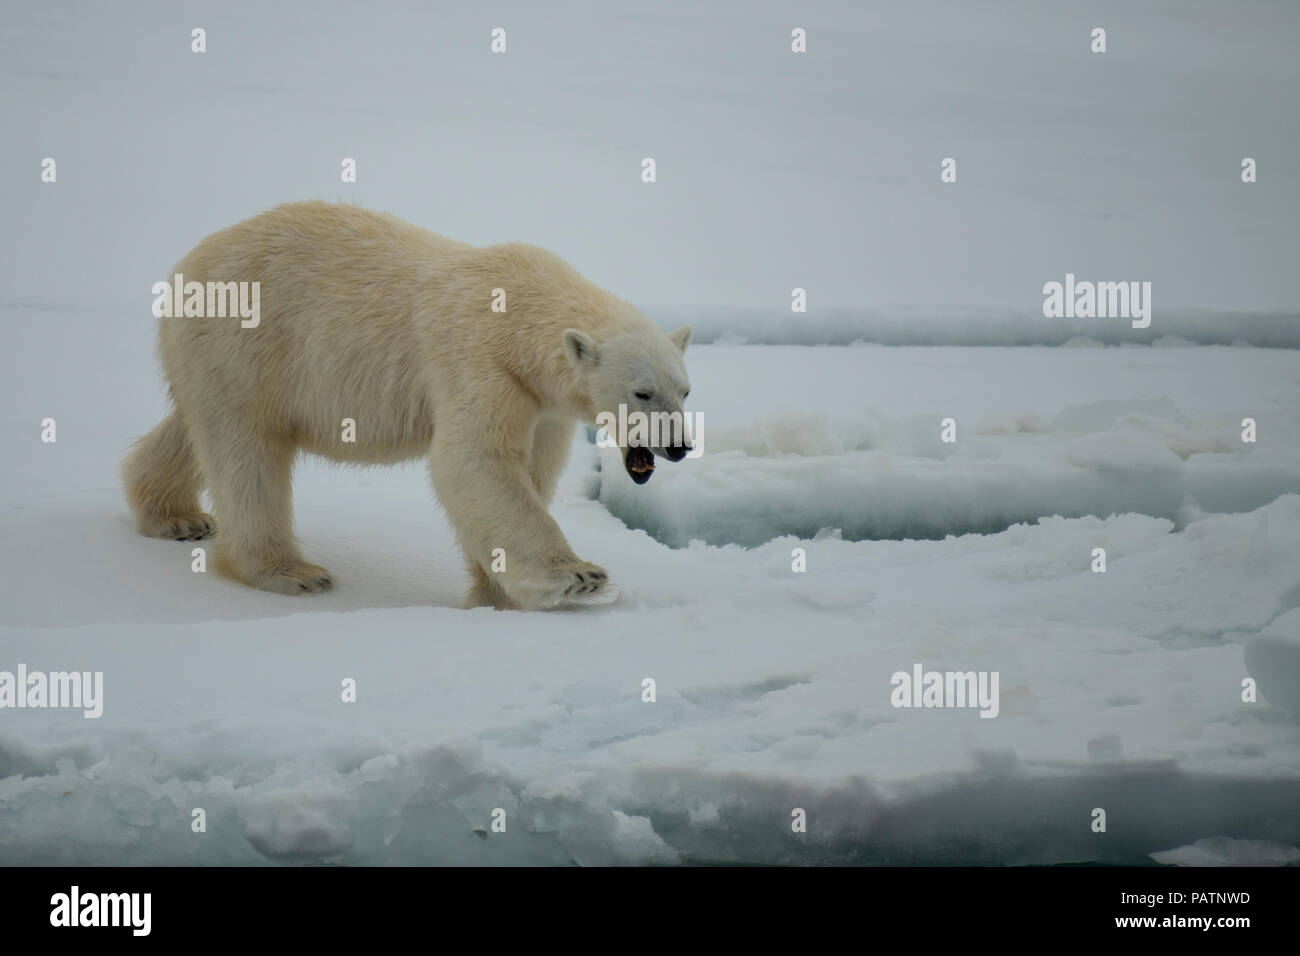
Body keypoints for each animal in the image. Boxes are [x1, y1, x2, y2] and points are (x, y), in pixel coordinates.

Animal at [122, 199, 691, 608]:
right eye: (642, 392)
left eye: (684, 390)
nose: (679, 447)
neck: (521, 316)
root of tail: (185, 267)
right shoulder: (480, 361)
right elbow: (474, 462)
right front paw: (579, 577)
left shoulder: (541, 404)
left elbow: (529, 470)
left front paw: (496, 595)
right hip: (245, 339)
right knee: (246, 451)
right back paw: (292, 572)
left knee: (195, 428)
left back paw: (177, 517)